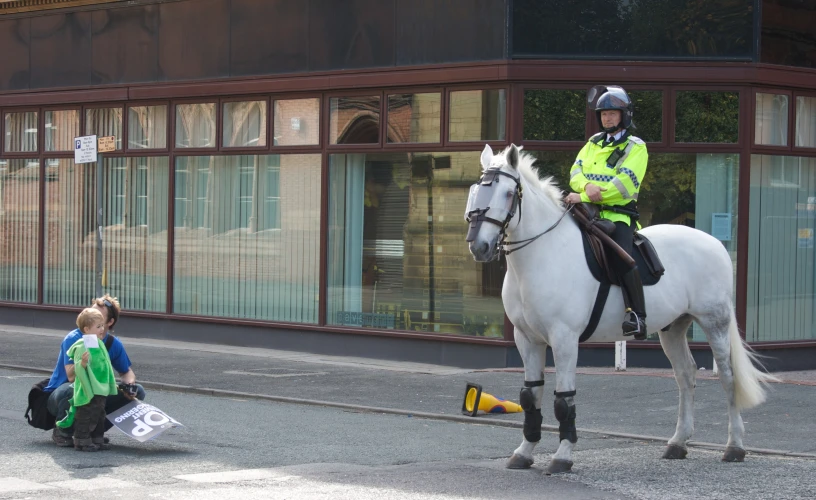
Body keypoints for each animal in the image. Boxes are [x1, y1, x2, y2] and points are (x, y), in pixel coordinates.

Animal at [466, 144, 776, 472]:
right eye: (476, 191)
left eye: (508, 194)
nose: (479, 247)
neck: (543, 253)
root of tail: (716, 244)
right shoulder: (527, 339)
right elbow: (530, 395)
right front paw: (525, 451)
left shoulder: (564, 339)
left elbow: (563, 400)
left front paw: (562, 456)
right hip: (673, 328)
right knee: (686, 375)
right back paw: (678, 443)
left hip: (714, 322)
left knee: (728, 378)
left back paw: (734, 446)